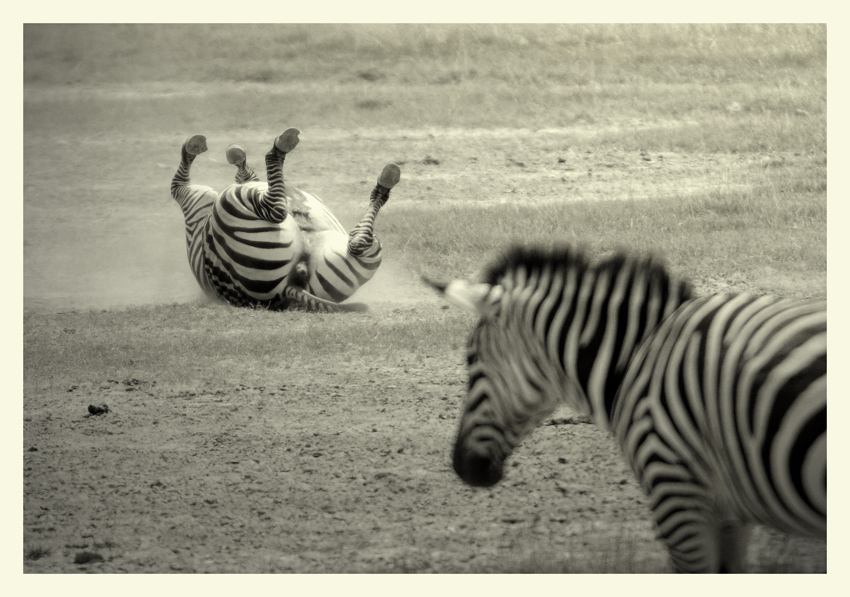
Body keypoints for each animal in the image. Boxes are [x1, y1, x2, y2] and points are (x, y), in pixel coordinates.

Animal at [171, 129, 400, 312]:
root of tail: (288, 288)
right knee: (277, 211)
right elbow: (177, 186)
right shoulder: (197, 199)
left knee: (356, 243)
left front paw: (233, 155)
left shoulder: (200, 200)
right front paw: (199, 148)